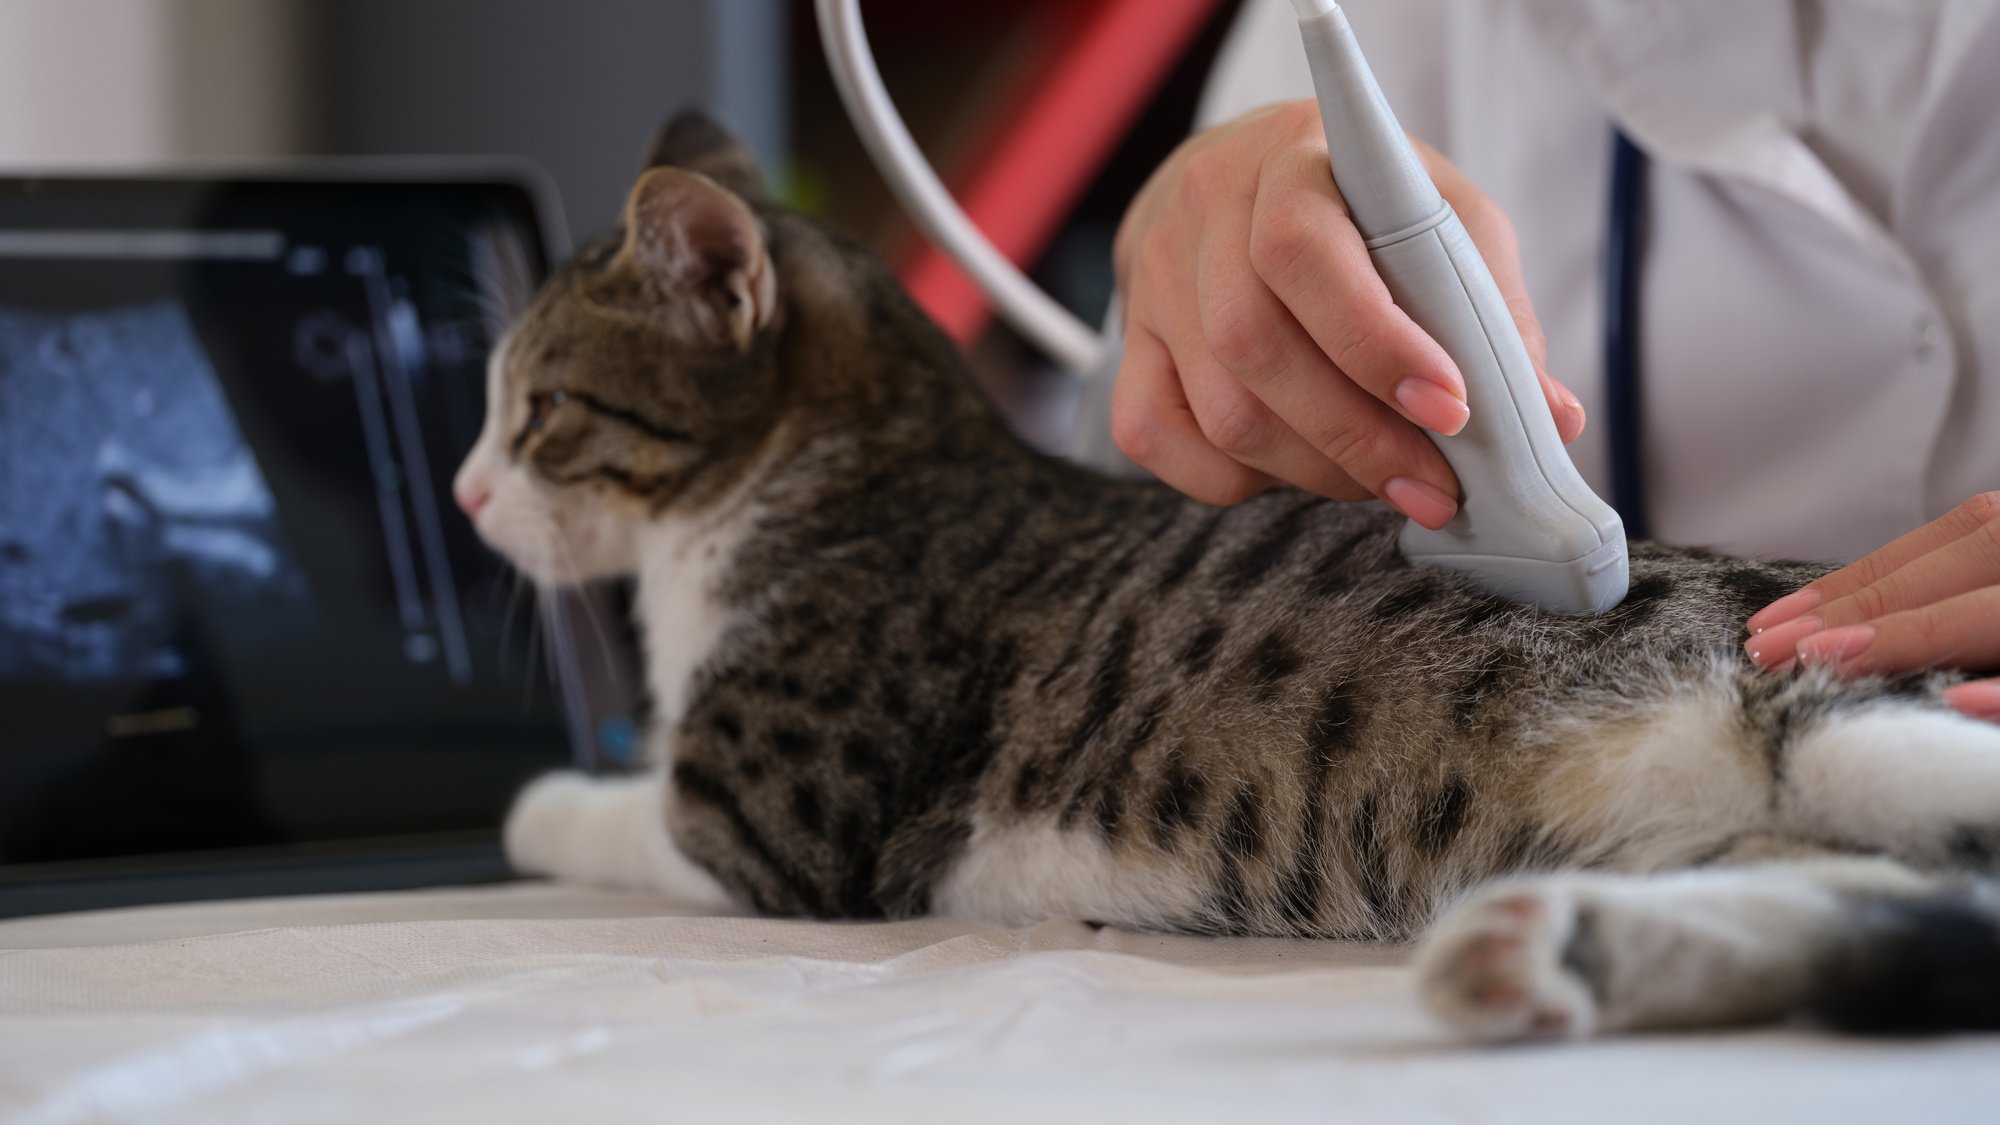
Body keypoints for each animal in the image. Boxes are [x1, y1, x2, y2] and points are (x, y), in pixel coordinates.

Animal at [454, 111, 2000, 1032]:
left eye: (539, 411)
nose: (466, 494)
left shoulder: (773, 823)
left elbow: (620, 807)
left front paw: (537, 796)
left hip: (1847, 706)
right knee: (1929, 908)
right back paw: (1538, 952)